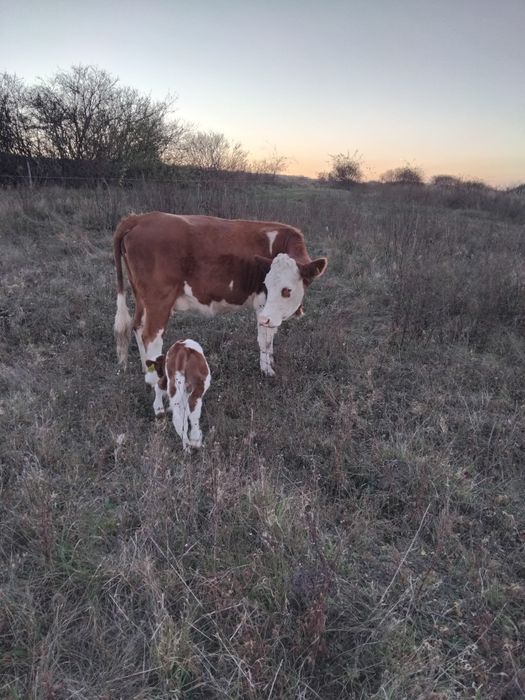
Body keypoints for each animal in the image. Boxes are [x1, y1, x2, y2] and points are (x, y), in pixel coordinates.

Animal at [113, 212, 327, 377]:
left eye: (286, 290)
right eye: (266, 284)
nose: (266, 318)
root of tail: (140, 217)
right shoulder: (262, 304)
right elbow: (265, 338)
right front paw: (267, 371)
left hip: (141, 296)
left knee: (137, 326)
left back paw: (146, 370)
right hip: (159, 300)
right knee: (151, 337)